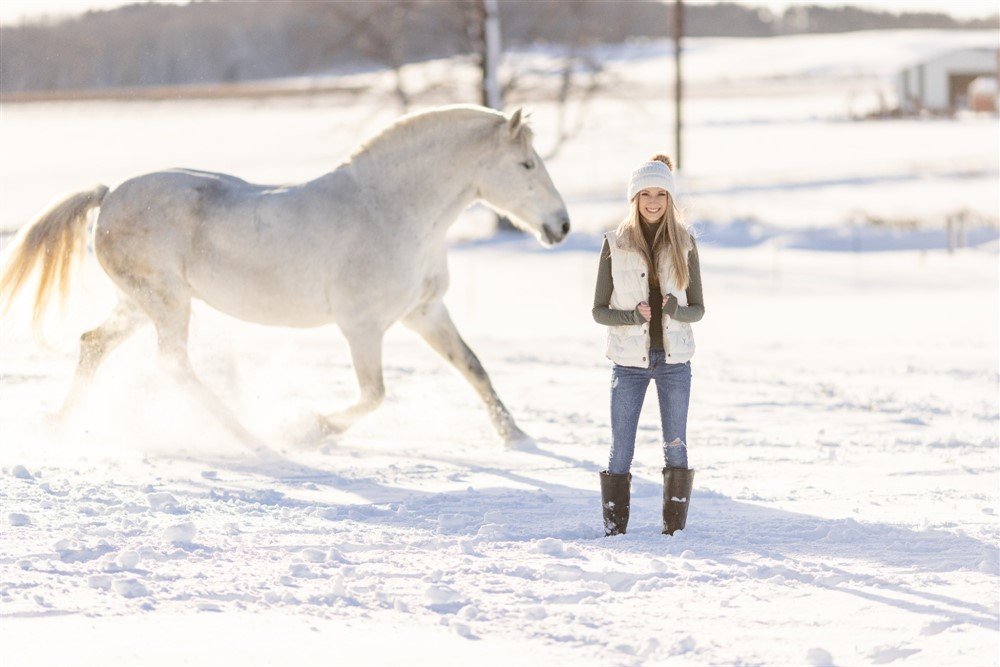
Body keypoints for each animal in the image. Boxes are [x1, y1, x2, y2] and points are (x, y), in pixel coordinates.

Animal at [1, 104, 572, 446]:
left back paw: (60, 422)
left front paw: (515, 436)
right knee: (172, 364)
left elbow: (473, 367)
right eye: (525, 165)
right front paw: (309, 428)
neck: (390, 210)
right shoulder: (361, 326)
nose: (560, 226)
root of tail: (111, 194)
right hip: (166, 301)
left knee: (92, 343)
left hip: (139, 304)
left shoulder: (425, 311)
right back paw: (248, 436)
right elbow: (374, 394)